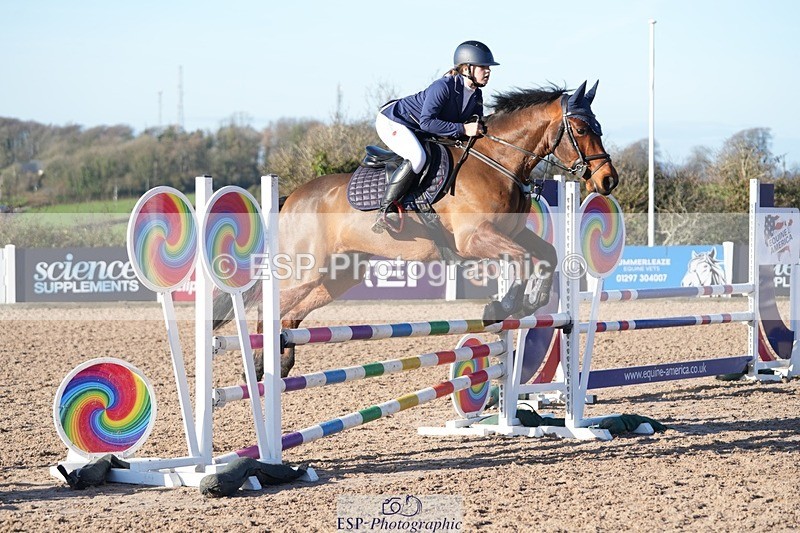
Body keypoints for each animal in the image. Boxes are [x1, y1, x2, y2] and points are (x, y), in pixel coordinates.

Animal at [215, 81, 619, 377]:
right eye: (582, 128)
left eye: (600, 127)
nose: (608, 180)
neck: (498, 162)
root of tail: (292, 199)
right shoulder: (474, 238)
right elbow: (520, 260)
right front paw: (500, 307)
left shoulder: (512, 233)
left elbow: (546, 254)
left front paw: (532, 300)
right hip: (306, 268)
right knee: (269, 304)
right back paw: (259, 364)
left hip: (338, 275)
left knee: (290, 314)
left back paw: (279, 363)